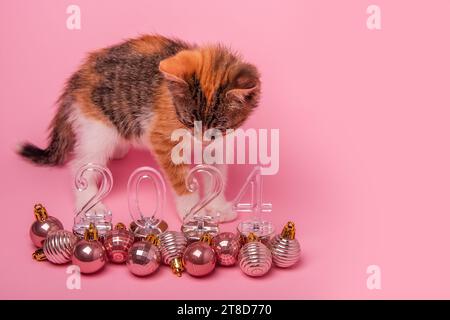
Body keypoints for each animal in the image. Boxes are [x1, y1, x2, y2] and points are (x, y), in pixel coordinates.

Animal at [18, 33, 260, 221]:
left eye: (219, 126)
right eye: (188, 121)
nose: (200, 139)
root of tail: (78, 76)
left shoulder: (218, 142)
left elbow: (215, 171)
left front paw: (217, 206)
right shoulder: (162, 138)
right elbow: (180, 177)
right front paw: (192, 211)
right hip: (99, 127)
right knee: (83, 163)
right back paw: (89, 202)